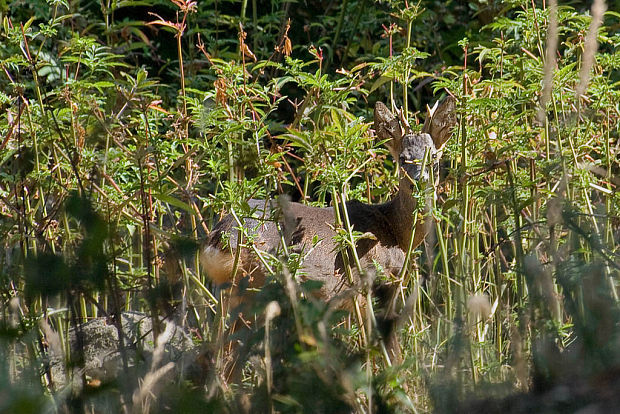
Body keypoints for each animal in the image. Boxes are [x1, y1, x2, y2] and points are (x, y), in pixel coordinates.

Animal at [202, 95, 456, 360]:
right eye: (403, 159)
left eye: (434, 157)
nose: (419, 181)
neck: (395, 232)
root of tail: (219, 237)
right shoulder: (378, 286)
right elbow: (388, 353)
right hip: (256, 287)